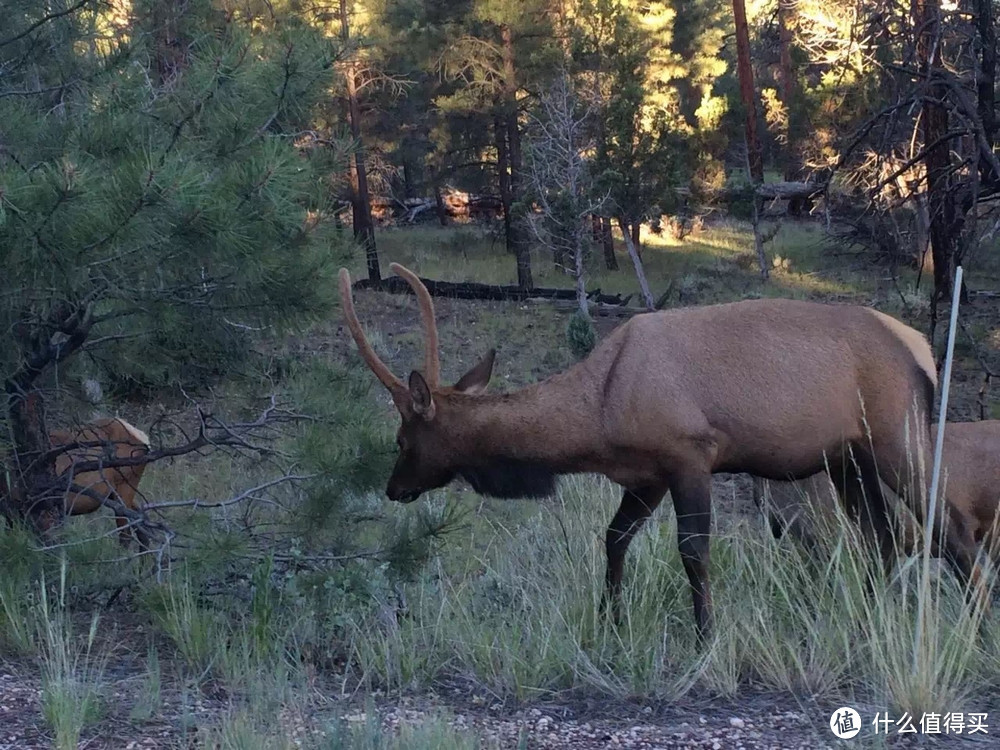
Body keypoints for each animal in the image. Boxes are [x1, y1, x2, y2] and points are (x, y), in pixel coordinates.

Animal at [340, 264, 980, 648]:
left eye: (402, 440)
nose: (393, 488)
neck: (599, 414)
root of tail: (922, 351)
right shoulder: (644, 474)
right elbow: (614, 538)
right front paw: (611, 623)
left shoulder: (690, 455)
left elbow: (693, 552)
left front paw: (705, 639)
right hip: (849, 458)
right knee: (883, 537)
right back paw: (870, 620)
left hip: (898, 435)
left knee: (947, 523)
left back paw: (973, 619)